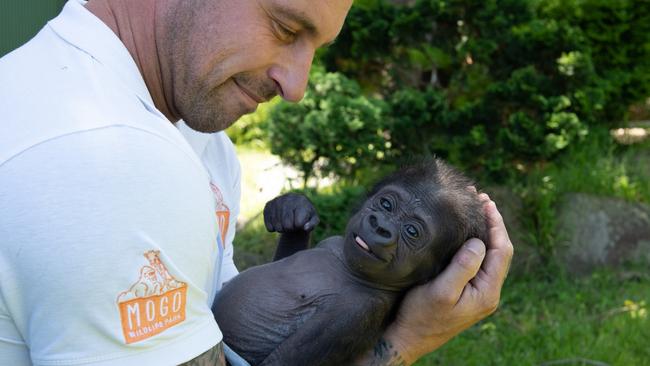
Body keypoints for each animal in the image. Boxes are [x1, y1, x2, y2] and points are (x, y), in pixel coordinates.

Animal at [213, 159, 486, 366]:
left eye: (412, 231)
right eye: (386, 204)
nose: (380, 226)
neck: (350, 268)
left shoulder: (360, 310)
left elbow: (281, 362)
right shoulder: (333, 243)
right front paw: (292, 213)